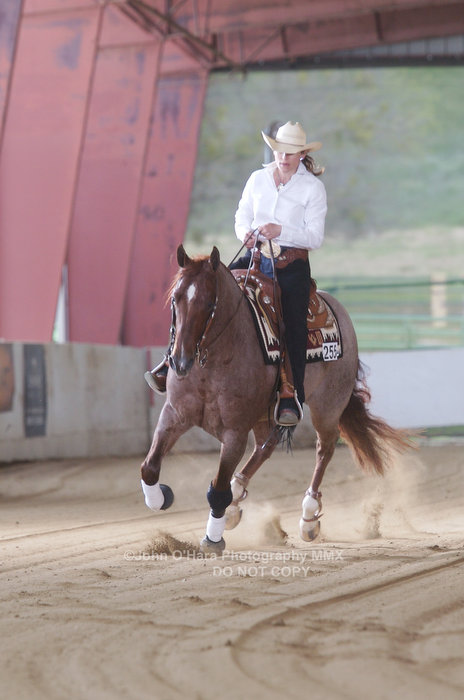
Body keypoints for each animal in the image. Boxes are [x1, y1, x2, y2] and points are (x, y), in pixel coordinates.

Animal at [140, 244, 411, 552]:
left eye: (210, 305)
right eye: (175, 299)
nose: (180, 362)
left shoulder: (234, 432)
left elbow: (217, 490)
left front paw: (212, 539)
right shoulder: (174, 414)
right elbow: (149, 467)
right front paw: (161, 498)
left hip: (328, 406)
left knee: (324, 449)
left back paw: (308, 517)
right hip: (266, 414)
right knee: (265, 447)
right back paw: (235, 503)